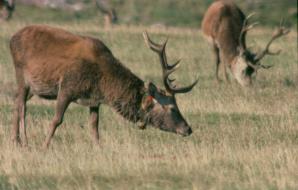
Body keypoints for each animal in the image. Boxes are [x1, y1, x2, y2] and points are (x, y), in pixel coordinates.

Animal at [9, 24, 198, 148]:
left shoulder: (94, 100)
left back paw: (15, 140)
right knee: (21, 106)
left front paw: (99, 148)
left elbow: (94, 127)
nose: (188, 129)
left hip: (32, 88)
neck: (103, 82)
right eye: (172, 108)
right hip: (21, 75)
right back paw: (23, 141)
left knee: (16, 102)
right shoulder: (67, 88)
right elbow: (57, 120)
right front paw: (45, 146)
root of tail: (12, 39)